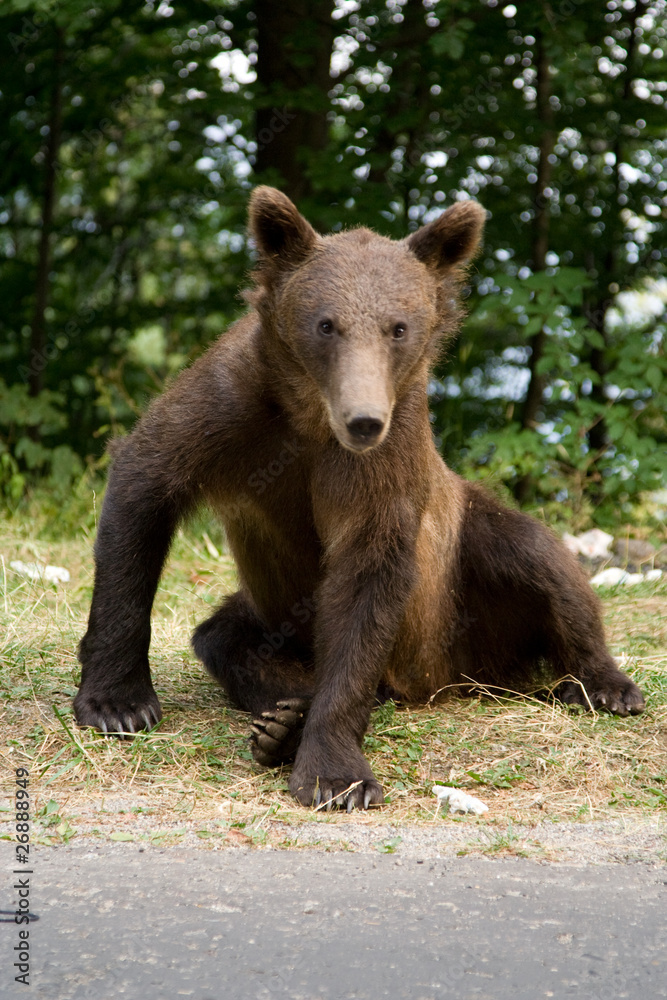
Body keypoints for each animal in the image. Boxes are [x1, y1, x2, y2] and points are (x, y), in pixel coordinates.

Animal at [75, 186, 645, 811]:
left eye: (398, 327)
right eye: (326, 324)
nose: (364, 420)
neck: (310, 414)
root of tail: (444, 678)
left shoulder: (385, 464)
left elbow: (366, 581)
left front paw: (334, 773)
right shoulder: (227, 410)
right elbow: (144, 489)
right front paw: (118, 702)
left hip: (462, 564)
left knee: (538, 559)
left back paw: (609, 685)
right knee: (223, 638)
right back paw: (282, 719)